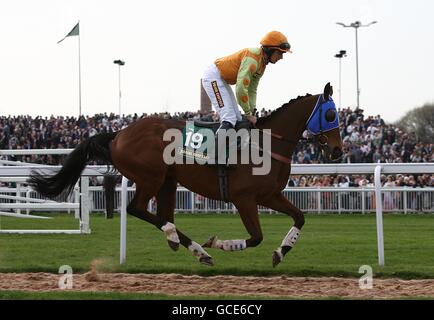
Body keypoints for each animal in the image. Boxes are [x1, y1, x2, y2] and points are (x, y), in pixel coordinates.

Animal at [28, 82, 344, 268]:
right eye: (330, 115)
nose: (338, 151)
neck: (265, 145)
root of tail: (118, 134)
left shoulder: (270, 195)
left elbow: (299, 217)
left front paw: (281, 251)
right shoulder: (244, 198)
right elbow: (255, 237)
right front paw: (220, 243)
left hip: (168, 181)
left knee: (161, 214)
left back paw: (192, 248)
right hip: (151, 177)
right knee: (137, 209)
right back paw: (187, 242)